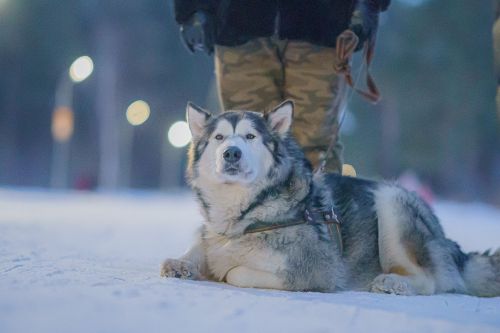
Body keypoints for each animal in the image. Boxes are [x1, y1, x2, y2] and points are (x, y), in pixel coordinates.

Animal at [161, 101, 500, 296]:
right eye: (218, 138)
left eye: (250, 137)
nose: (231, 153)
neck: (247, 212)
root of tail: (449, 242)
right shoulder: (213, 237)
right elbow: (195, 250)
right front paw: (182, 263)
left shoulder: (316, 270)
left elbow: (234, 272)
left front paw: (218, 271)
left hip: (391, 201)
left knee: (429, 279)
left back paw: (393, 283)